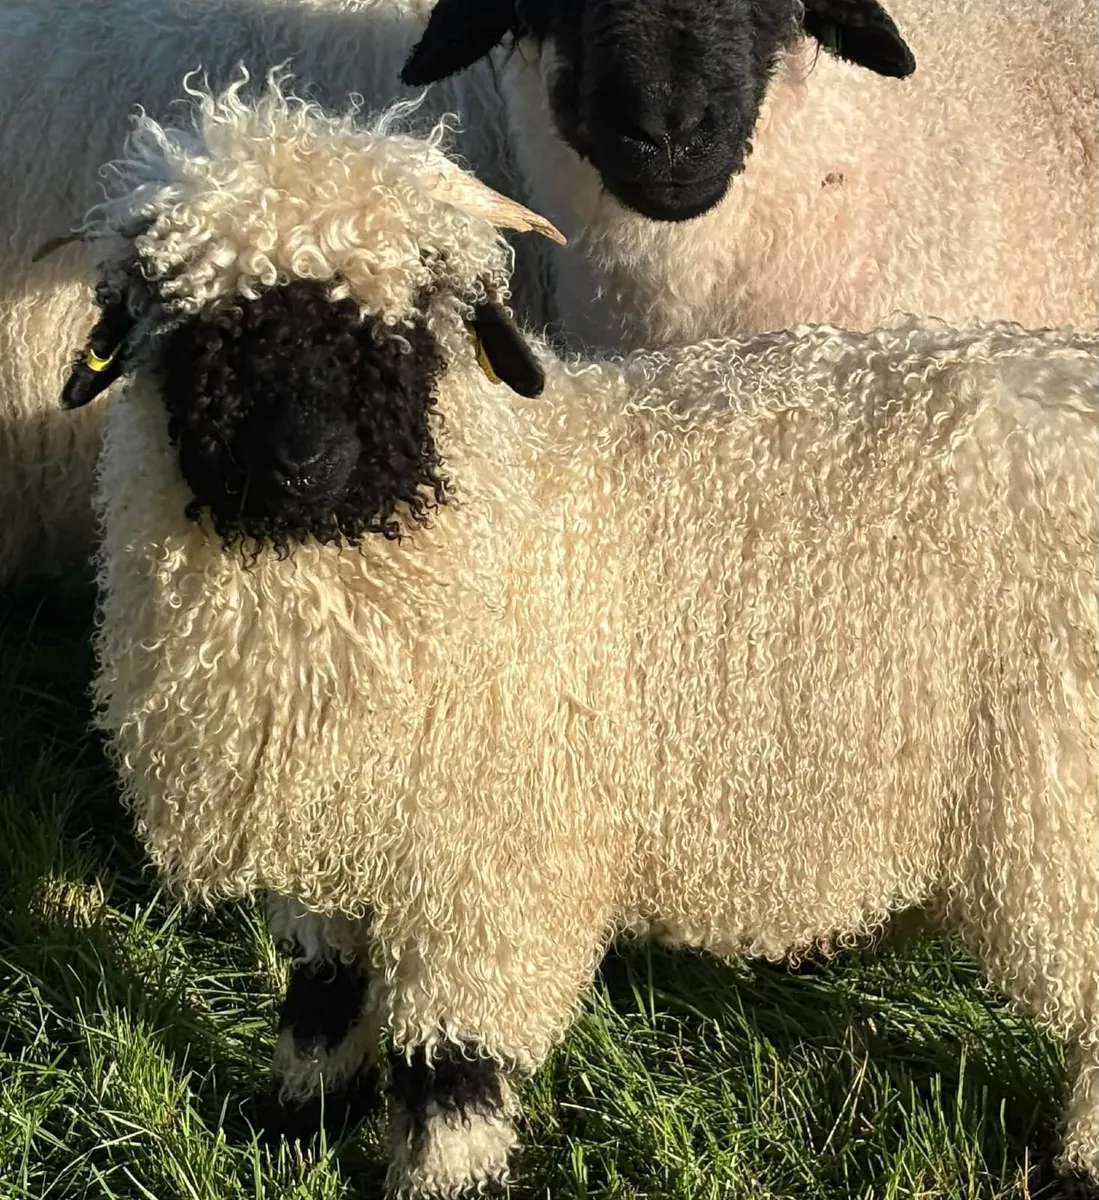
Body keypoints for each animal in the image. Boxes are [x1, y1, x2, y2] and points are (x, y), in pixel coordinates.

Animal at [71, 83, 1099, 1196]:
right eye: (202, 323)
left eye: (408, 324)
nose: (306, 460)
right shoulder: (334, 837)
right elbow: (322, 1000)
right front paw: (292, 1126)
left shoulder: (487, 863)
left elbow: (451, 1071)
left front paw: (437, 1179)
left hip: (1060, 808)